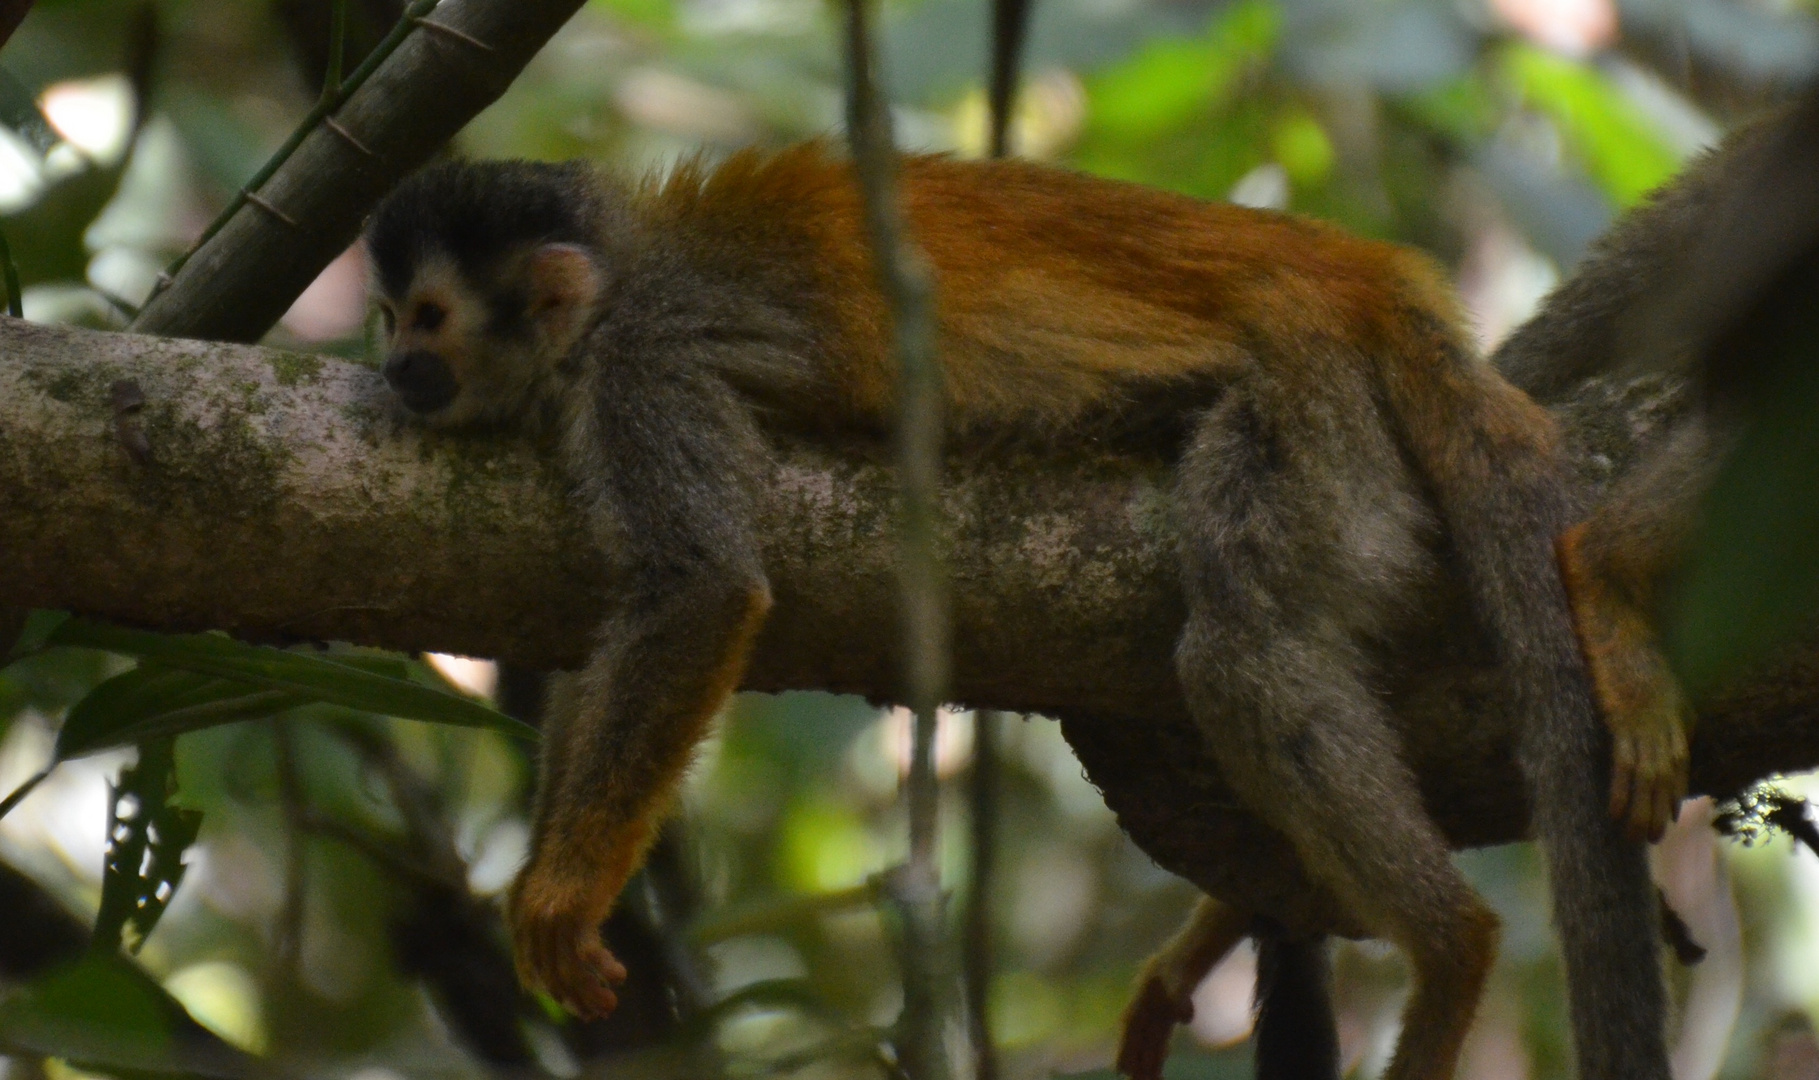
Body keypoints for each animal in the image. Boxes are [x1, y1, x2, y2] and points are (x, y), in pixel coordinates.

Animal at [361, 145, 1666, 1076]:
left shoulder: (646, 366)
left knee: (1244, 647)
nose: (390, 371)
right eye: (388, 319)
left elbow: (699, 588)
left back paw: (1449, 952)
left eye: (423, 318)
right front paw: (551, 866)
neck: (613, 295)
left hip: (1309, 392)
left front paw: (564, 893)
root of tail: (1353, 268)